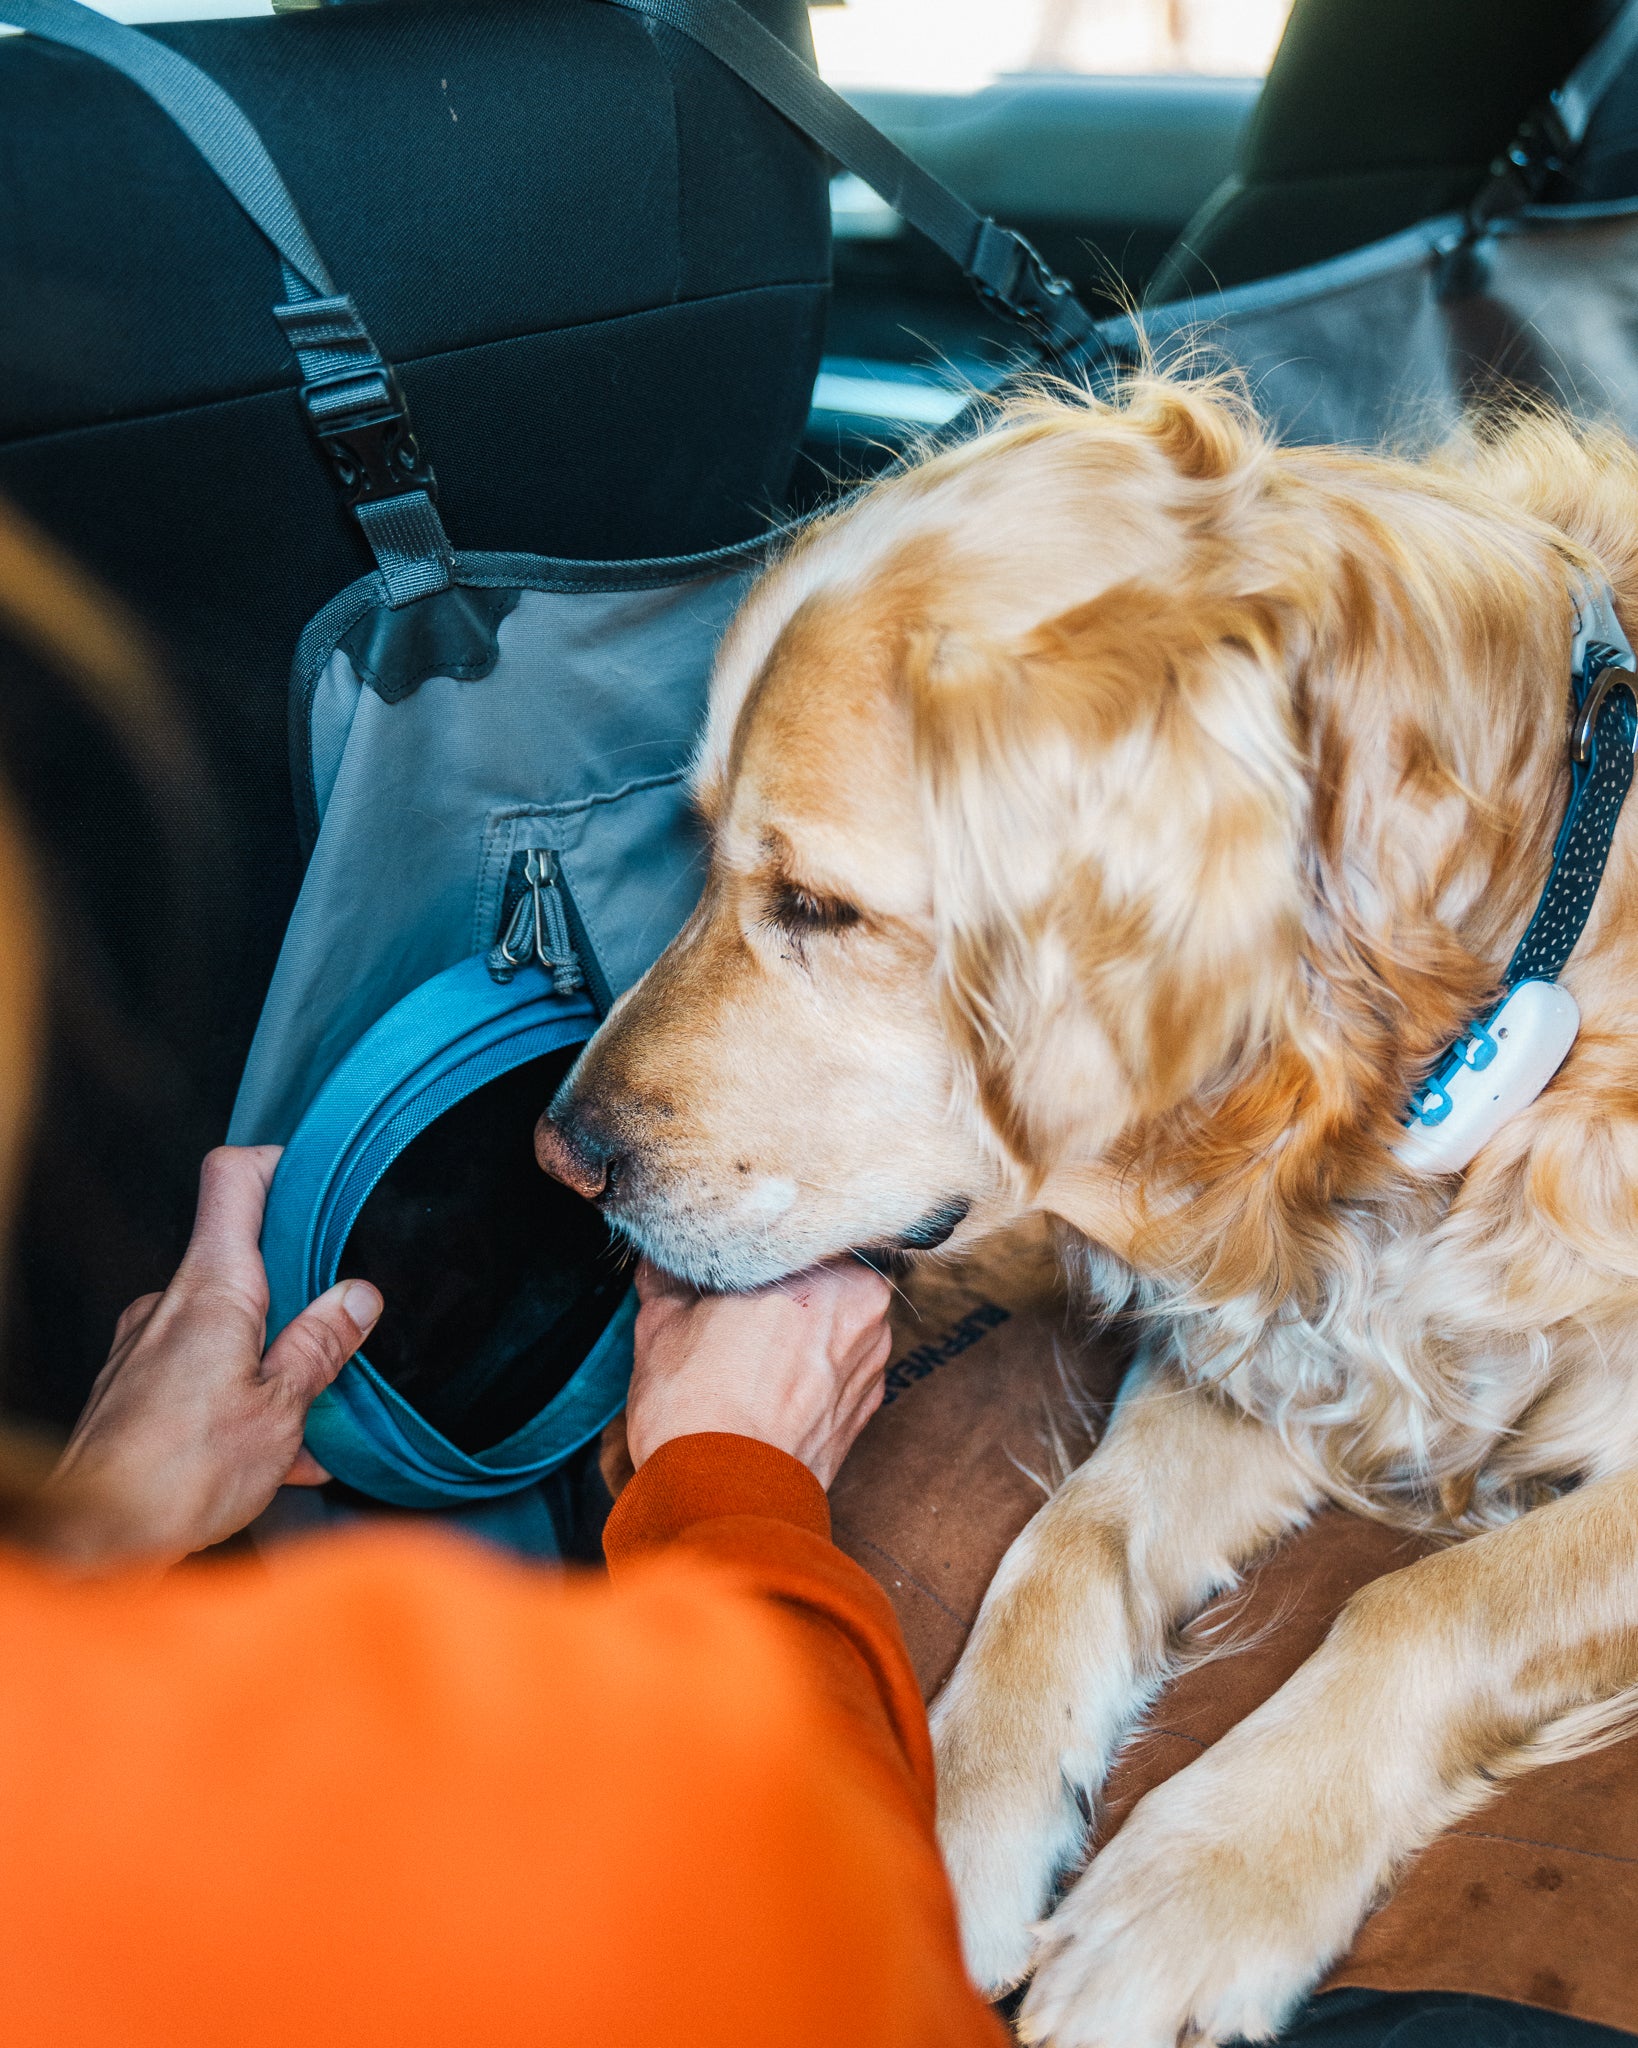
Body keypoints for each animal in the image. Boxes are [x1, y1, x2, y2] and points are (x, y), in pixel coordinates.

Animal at [532, 376, 1637, 2039]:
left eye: (819, 907)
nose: (562, 1153)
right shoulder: (1293, 1342)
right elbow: (1067, 1533)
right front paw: (964, 1816)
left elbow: (1430, 1602)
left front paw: (1197, 1890)